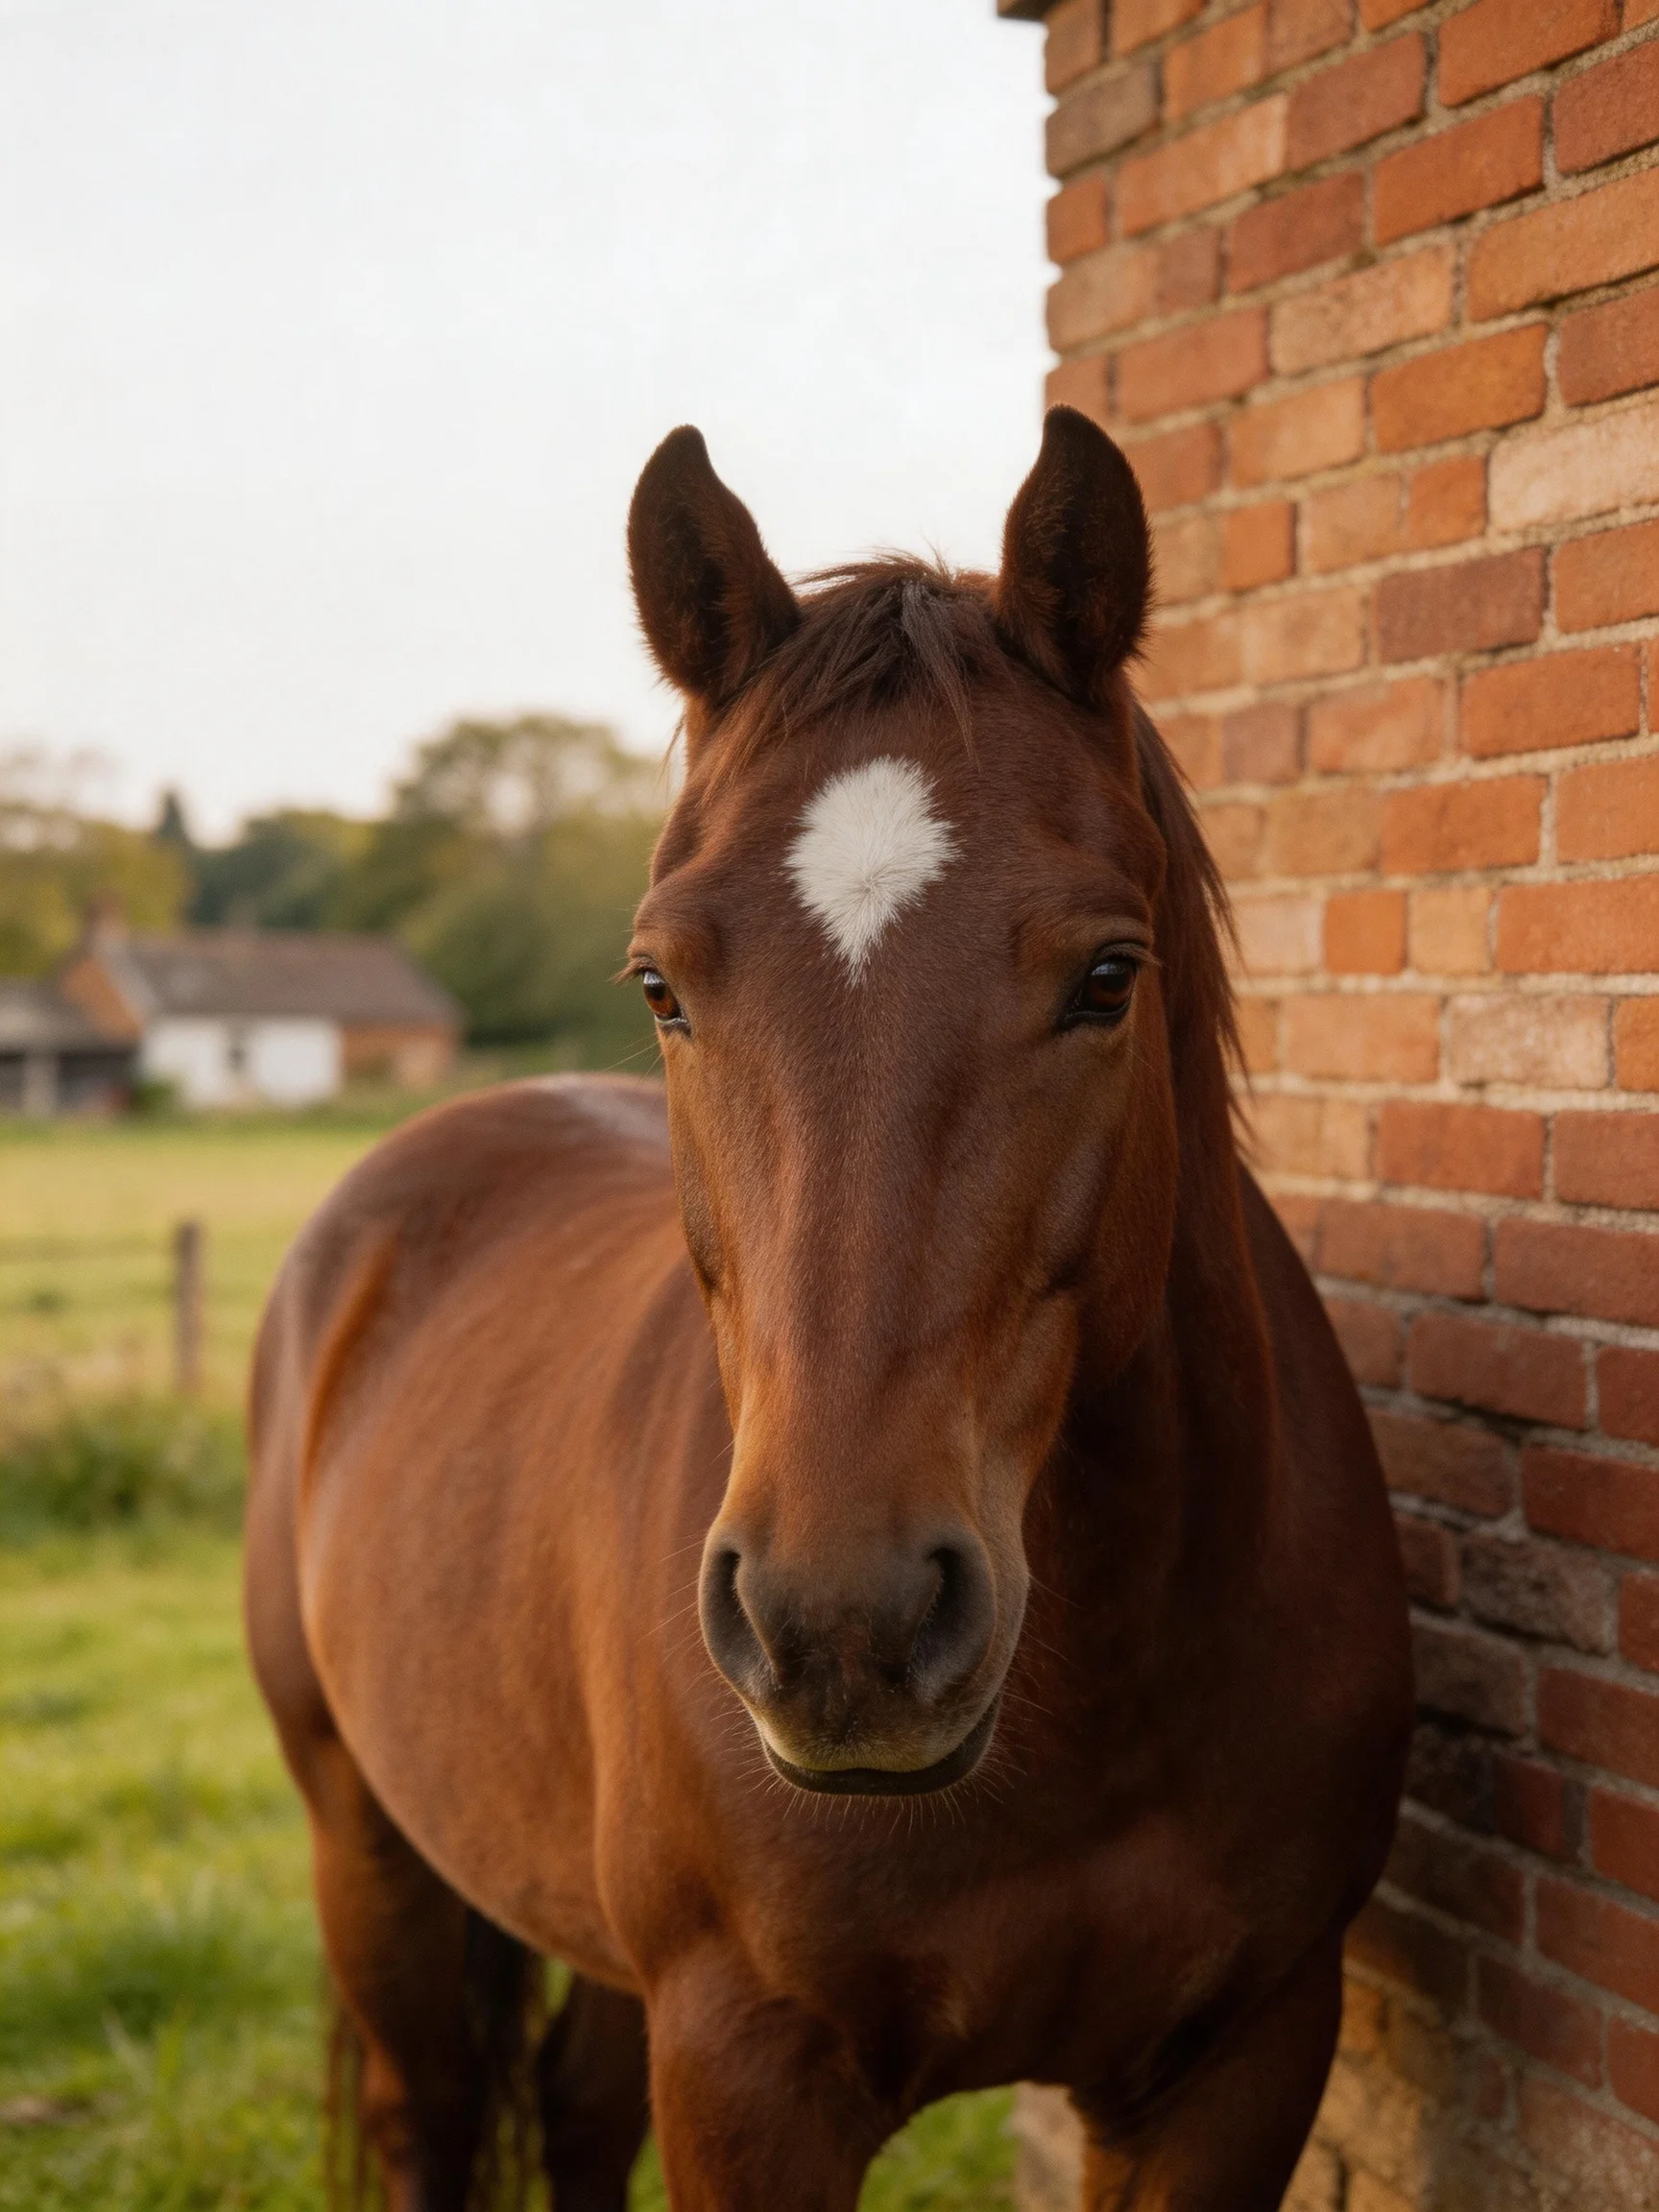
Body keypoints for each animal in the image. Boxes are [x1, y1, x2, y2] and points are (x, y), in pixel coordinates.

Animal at [245, 405, 1412, 2212]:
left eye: (1106, 974)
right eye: (661, 983)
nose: (841, 1627)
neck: (1087, 1706)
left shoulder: (1240, 2063)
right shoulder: (748, 2076)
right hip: (368, 1852)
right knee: (426, 2112)